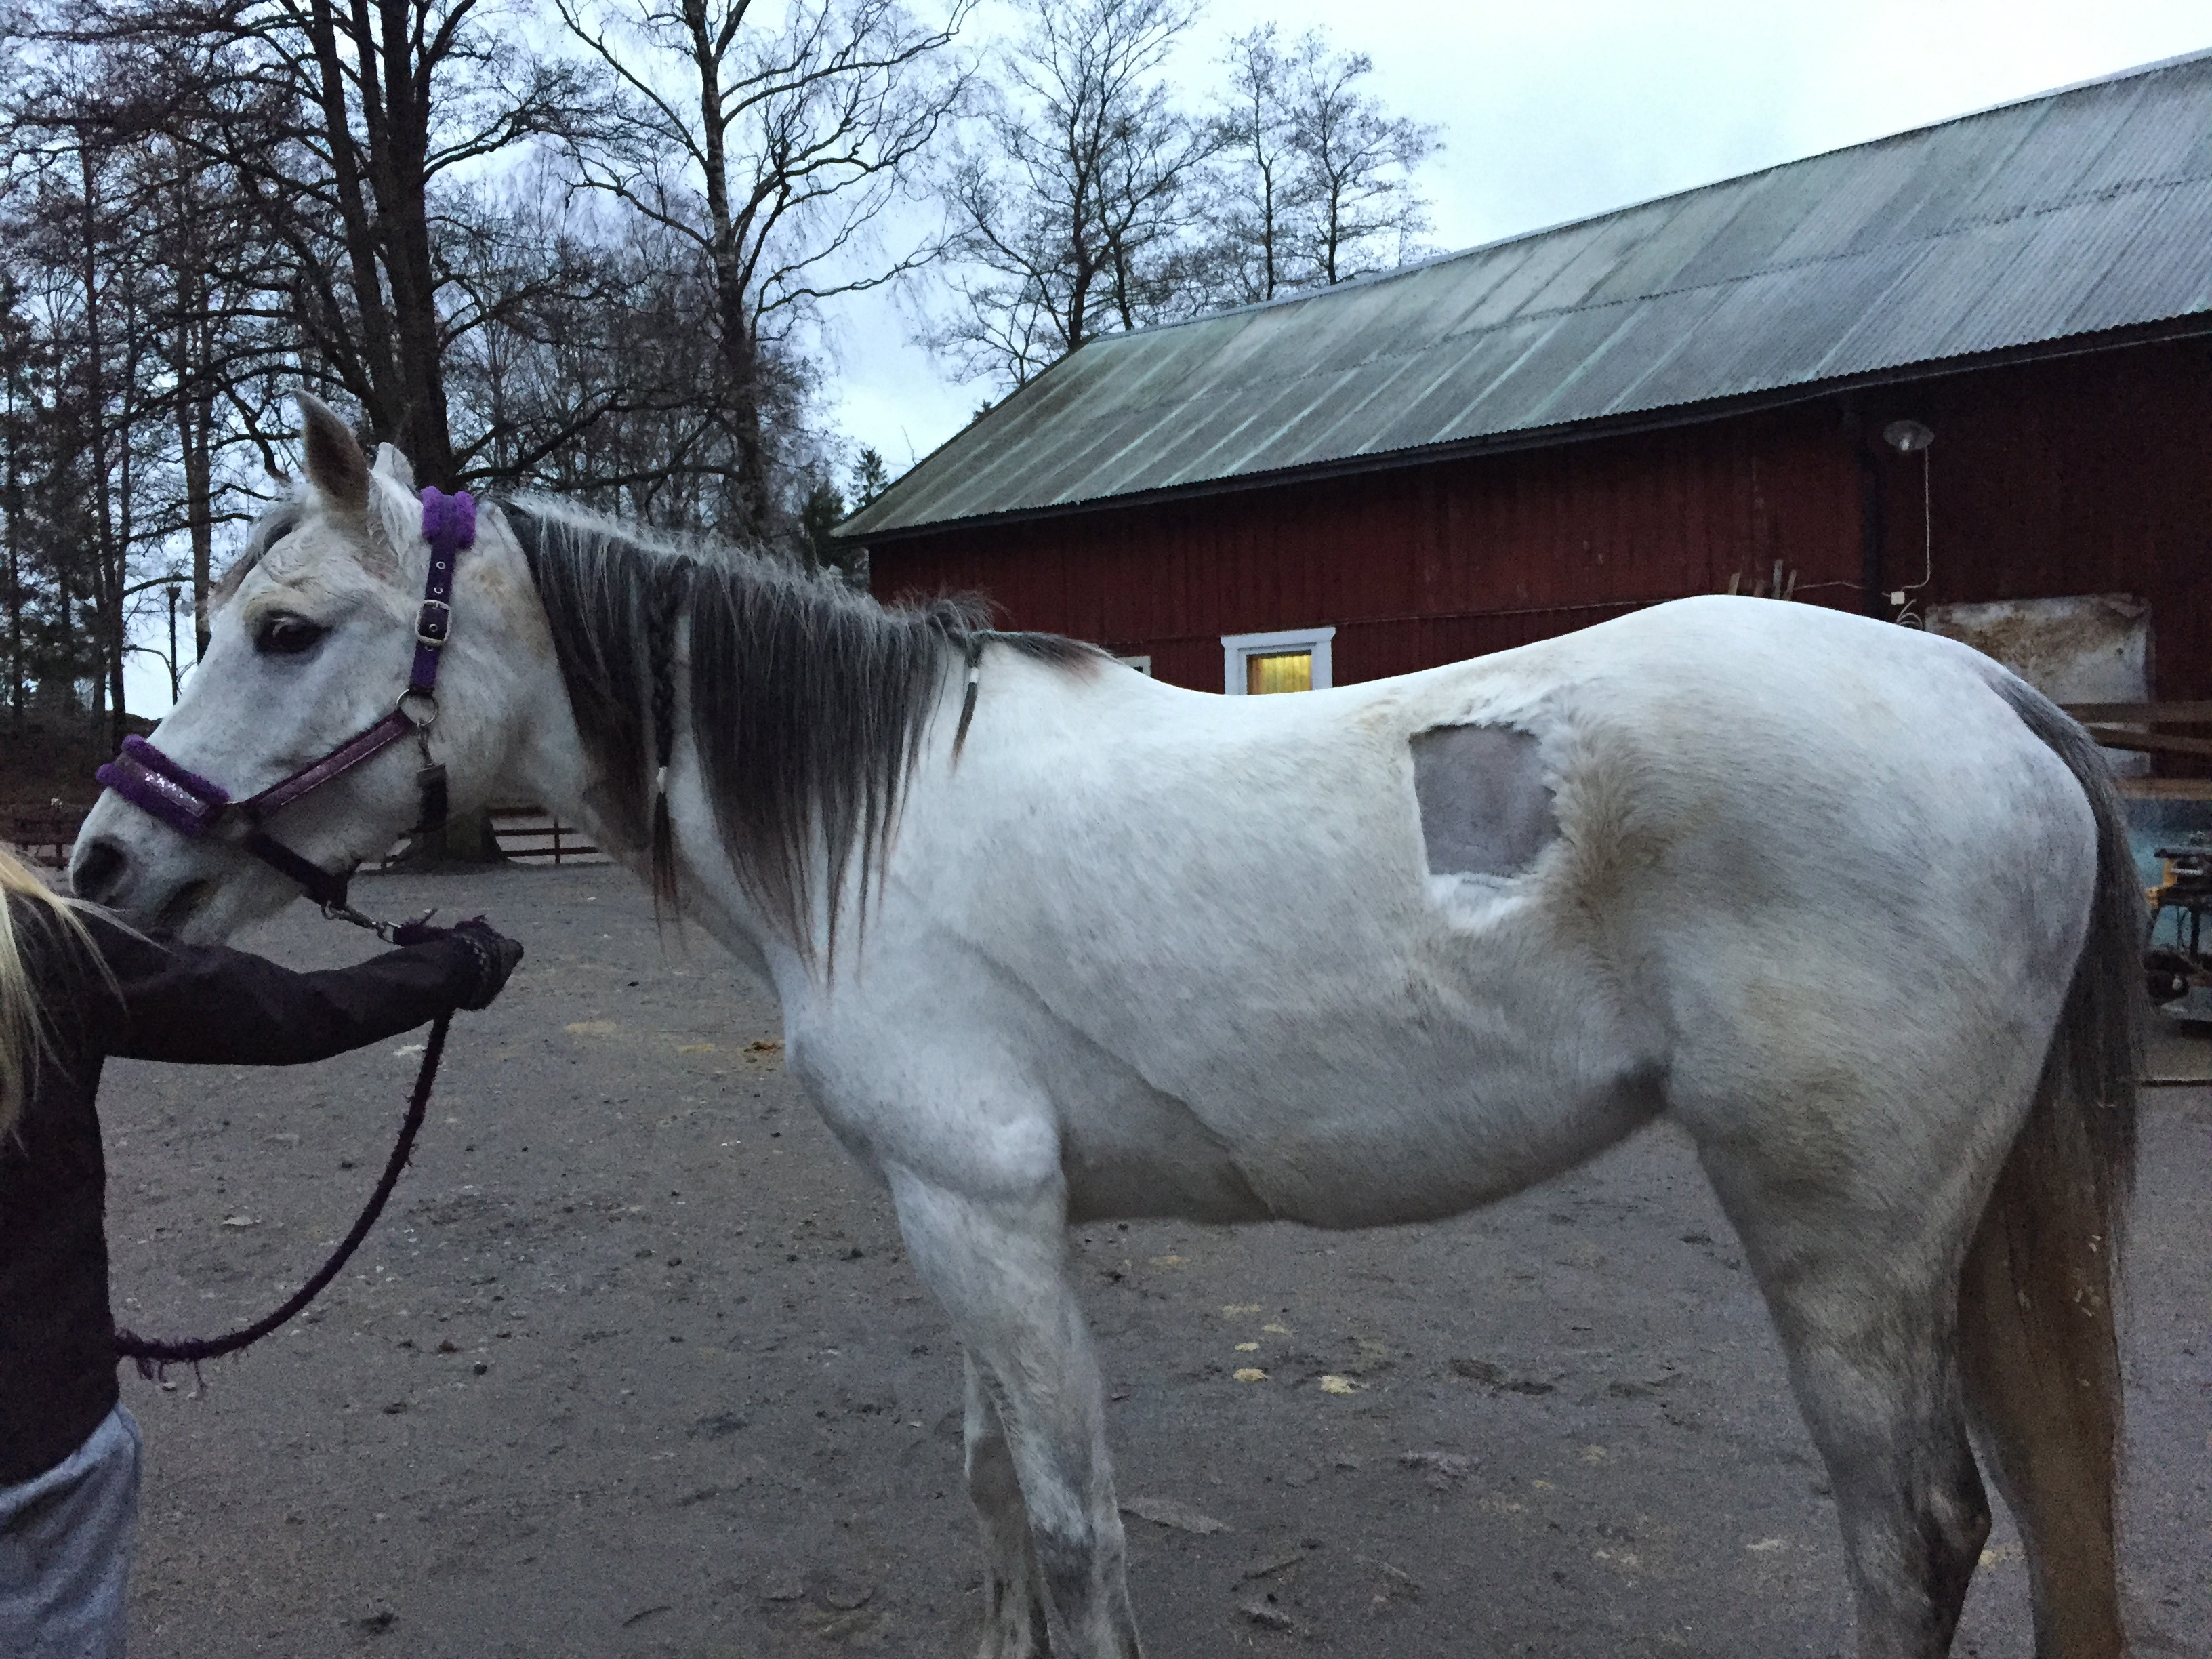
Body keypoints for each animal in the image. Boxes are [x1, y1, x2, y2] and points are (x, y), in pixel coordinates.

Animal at [73, 403, 2141, 1659]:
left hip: (1842, 1241)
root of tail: (1981, 688)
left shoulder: (983, 1210)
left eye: (282, 628)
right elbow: (995, 1480)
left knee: (1915, 1531)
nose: (98, 861)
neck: (873, 824)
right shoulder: (957, 1215)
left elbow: (1072, 1519)